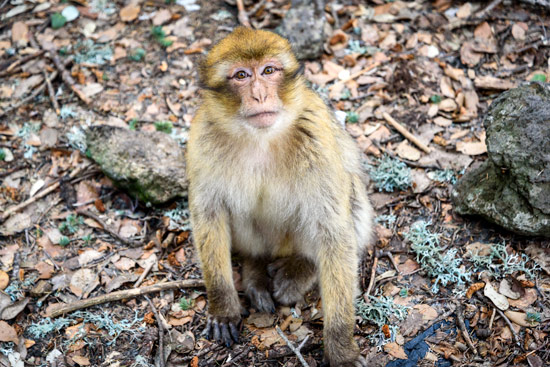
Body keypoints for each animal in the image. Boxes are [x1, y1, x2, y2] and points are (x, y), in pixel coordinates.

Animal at [187, 27, 376, 366]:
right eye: (241, 75)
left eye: (269, 71)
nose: (260, 95)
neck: (260, 138)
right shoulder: (202, 139)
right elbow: (209, 214)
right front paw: (223, 307)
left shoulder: (316, 138)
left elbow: (334, 230)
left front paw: (340, 347)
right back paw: (255, 270)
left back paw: (301, 268)